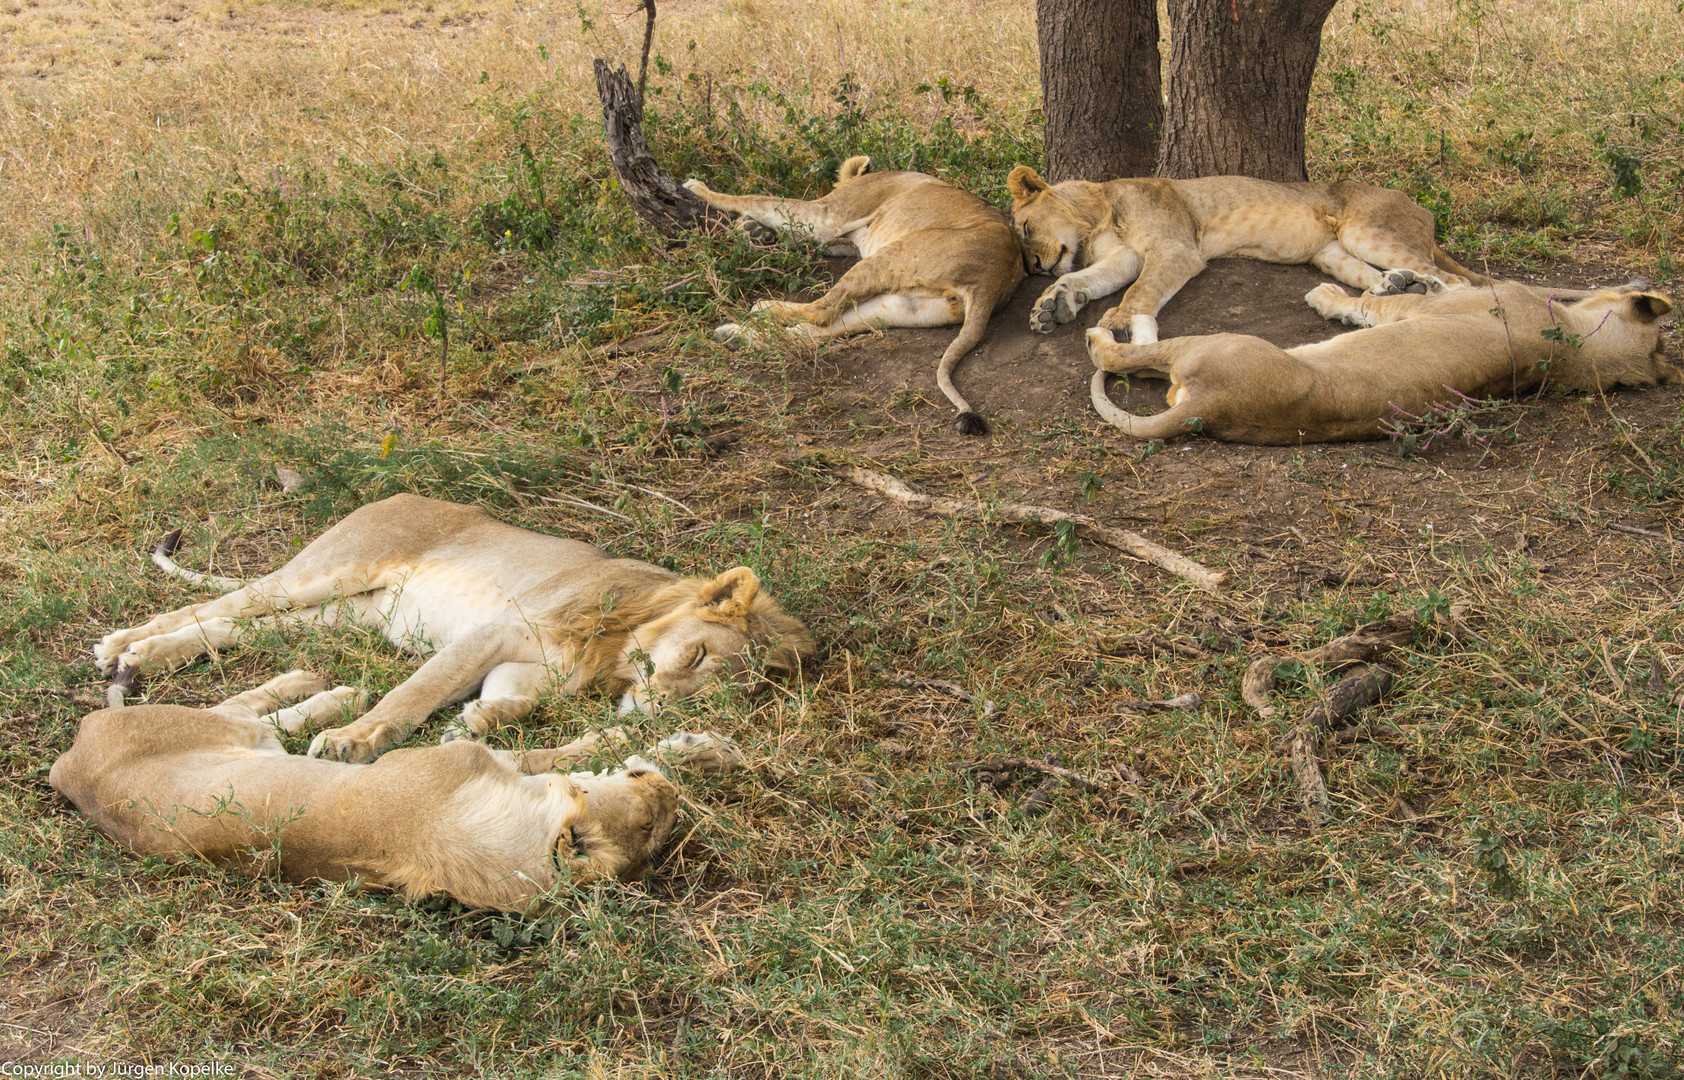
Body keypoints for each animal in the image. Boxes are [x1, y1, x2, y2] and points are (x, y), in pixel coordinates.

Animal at [50, 673, 744, 909]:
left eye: (657, 835)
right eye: (646, 809)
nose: (665, 793)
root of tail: (68, 763)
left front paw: (700, 752)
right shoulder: (458, 758)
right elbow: (567, 750)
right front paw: (680, 746)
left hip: (239, 739)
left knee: (266, 719)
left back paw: (330, 695)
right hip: (208, 727)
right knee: (247, 706)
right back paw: (325, 686)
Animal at [95, 491, 818, 761]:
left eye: (709, 698)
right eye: (695, 657)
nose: (654, 714)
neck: (614, 655)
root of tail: (393, 493)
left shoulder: (532, 668)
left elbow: (509, 698)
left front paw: (481, 721)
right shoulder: (493, 632)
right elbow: (410, 694)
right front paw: (352, 740)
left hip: (345, 616)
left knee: (238, 629)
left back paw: (146, 658)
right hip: (330, 570)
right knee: (212, 607)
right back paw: (122, 647)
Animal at [683, 156, 1023, 434]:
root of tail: (993, 280)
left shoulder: (829, 214)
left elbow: (757, 198)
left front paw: (698, 188)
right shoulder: (837, 240)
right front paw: (754, 231)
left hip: (888, 256)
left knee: (819, 312)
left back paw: (762, 309)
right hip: (897, 306)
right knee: (814, 332)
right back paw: (734, 336)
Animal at [1003, 164, 1481, 345]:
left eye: (1026, 229)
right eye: (1025, 261)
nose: (1039, 268)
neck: (1097, 215)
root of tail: (1419, 207)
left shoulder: (1175, 248)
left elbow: (1140, 291)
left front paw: (1118, 321)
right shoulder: (1127, 256)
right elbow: (1086, 278)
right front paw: (1052, 306)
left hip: (1365, 229)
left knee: (1459, 282)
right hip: (1332, 254)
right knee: (1376, 277)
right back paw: (1396, 287)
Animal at [1084, 283, 1677, 444]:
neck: (1575, 349)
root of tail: (1209, 408)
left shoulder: (1426, 309)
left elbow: (1373, 304)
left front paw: (1328, 295)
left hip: (1221, 342)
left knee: (1122, 354)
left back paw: (1112, 329)